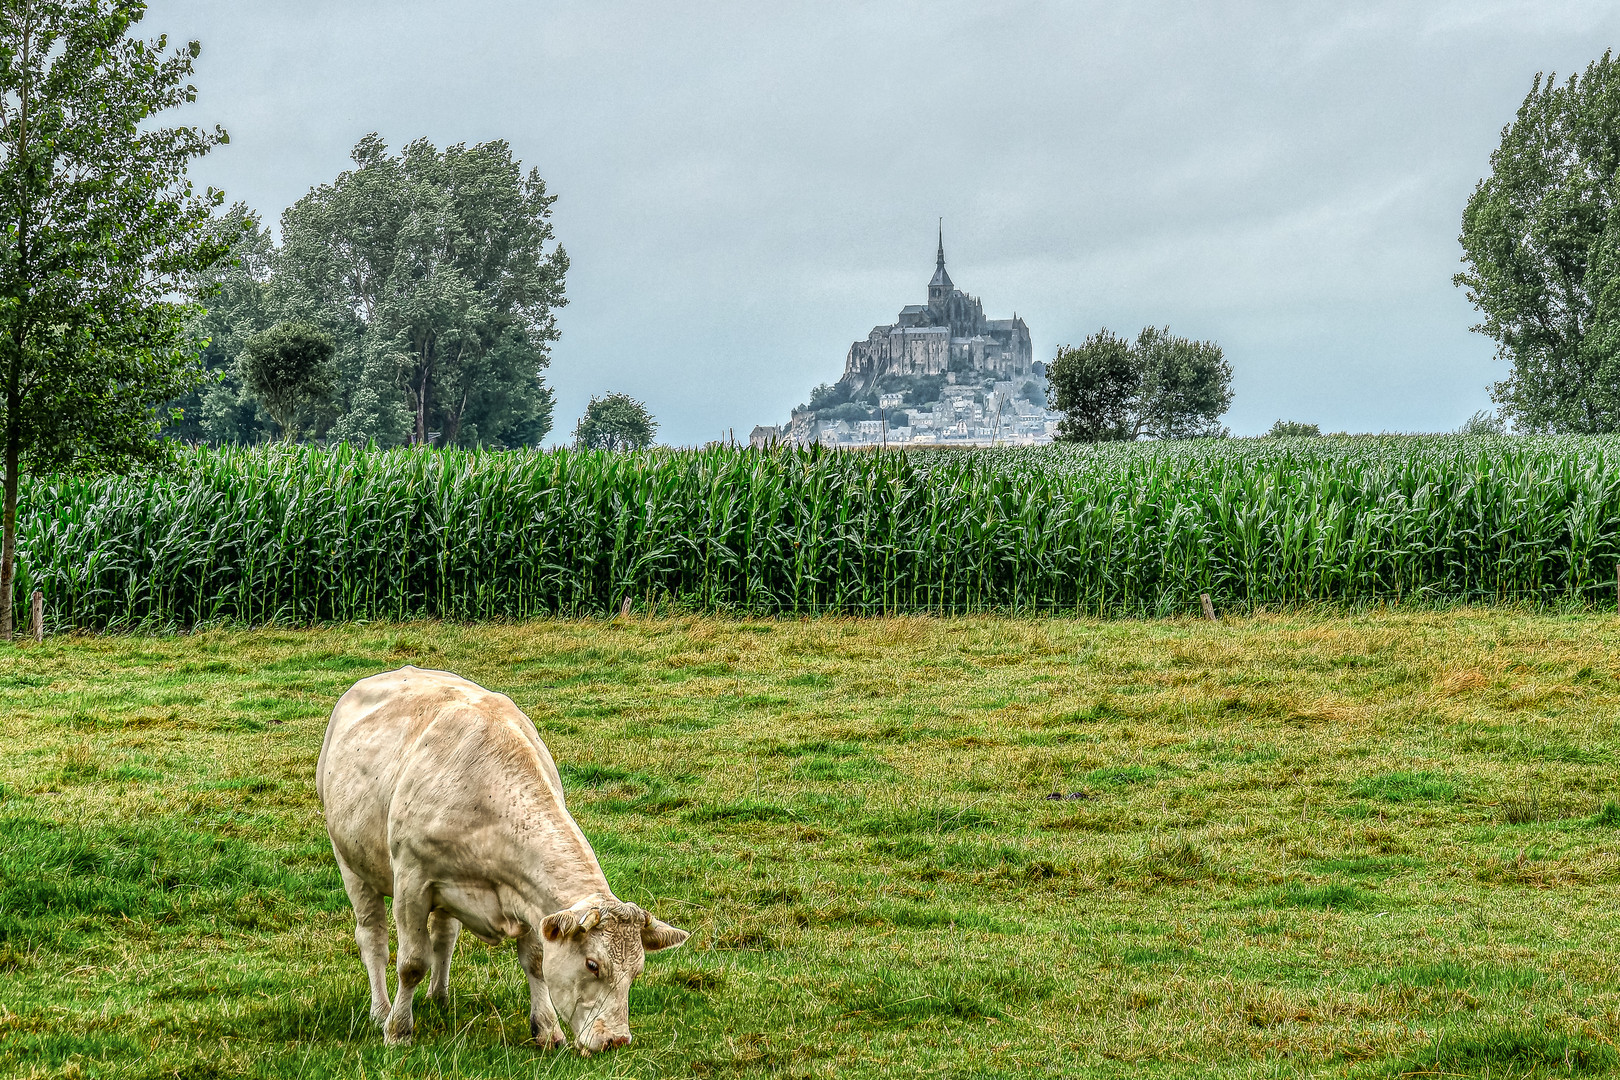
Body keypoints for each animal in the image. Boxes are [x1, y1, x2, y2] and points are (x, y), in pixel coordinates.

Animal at [315, 663, 690, 1049]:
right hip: (350, 861)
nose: (616, 1039)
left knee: (444, 935)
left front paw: (547, 1030)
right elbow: (412, 963)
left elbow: (536, 961)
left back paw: (439, 997)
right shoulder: (411, 882)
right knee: (373, 938)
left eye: (637, 971)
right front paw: (398, 1030)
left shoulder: (528, 895)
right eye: (592, 964)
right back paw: (381, 1011)